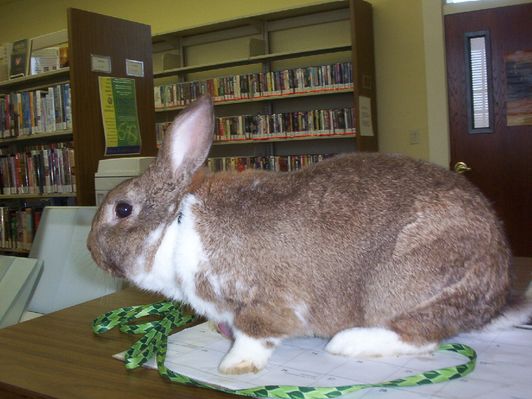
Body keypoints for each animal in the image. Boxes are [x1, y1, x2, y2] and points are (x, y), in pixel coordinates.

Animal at [87, 96, 528, 376]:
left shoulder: (264, 302)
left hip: (401, 284)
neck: (176, 226)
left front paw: (233, 367)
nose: (90, 250)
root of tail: (496, 295)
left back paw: (348, 343)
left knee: (422, 337)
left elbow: (255, 335)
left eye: (122, 209)